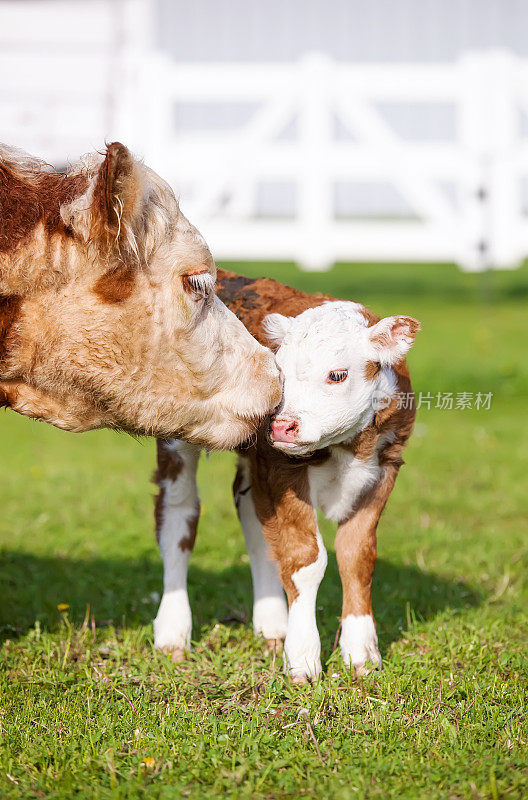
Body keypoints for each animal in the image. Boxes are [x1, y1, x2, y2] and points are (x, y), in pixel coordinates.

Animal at [154, 270, 420, 680]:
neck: (348, 447)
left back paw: (272, 624)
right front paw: (304, 658)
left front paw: (361, 652)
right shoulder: (283, 469)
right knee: (179, 516)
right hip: (177, 438)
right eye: (278, 371)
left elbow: (357, 556)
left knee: (253, 519)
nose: (280, 426)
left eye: (337, 374)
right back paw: (172, 632)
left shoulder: (385, 467)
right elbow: (305, 558)